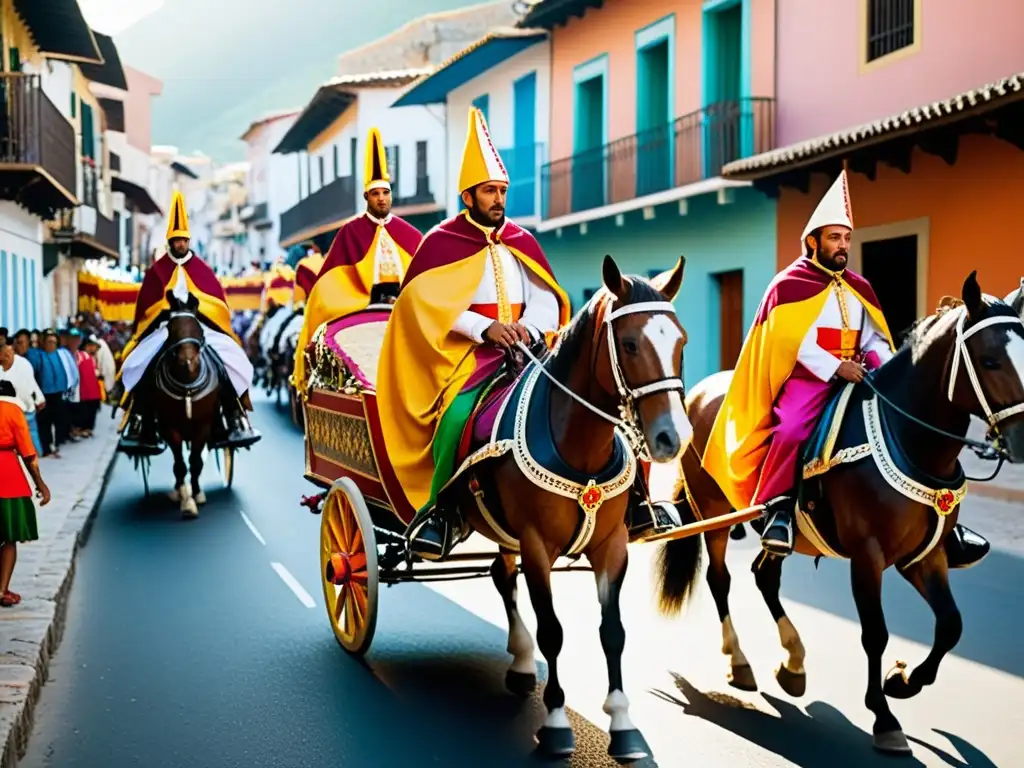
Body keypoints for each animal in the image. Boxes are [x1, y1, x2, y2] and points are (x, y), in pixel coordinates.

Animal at [153, 290, 222, 520]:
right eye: (170, 329)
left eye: (198, 327)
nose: (188, 362)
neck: (187, 388)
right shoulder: (169, 426)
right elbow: (180, 465)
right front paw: (186, 501)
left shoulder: (203, 425)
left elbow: (195, 462)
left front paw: (197, 494)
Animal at [440, 256, 688, 761]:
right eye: (629, 344)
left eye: (681, 342)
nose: (672, 438)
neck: (581, 447)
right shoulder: (537, 547)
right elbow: (552, 631)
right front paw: (555, 723)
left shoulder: (612, 547)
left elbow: (613, 632)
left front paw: (623, 724)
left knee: (501, 575)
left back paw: (519, 662)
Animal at [651, 272, 1024, 757]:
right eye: (990, 360)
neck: (907, 437)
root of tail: (698, 392)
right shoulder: (868, 557)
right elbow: (876, 633)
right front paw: (884, 715)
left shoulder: (927, 556)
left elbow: (950, 626)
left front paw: (903, 680)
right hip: (713, 512)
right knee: (721, 580)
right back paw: (740, 661)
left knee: (764, 574)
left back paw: (793, 663)